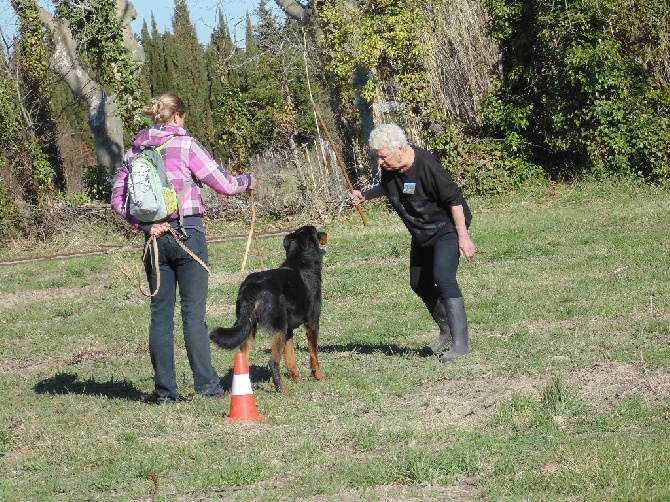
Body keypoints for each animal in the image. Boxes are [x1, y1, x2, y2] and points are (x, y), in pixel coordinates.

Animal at [209, 225, 326, 392]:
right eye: (317, 233)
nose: (325, 233)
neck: (301, 260)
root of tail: (251, 286)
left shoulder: (288, 330)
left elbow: (291, 358)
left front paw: (297, 380)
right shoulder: (312, 321)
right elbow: (313, 354)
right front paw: (319, 377)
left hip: (250, 327)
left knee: (244, 359)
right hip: (278, 328)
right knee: (273, 361)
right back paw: (282, 389)